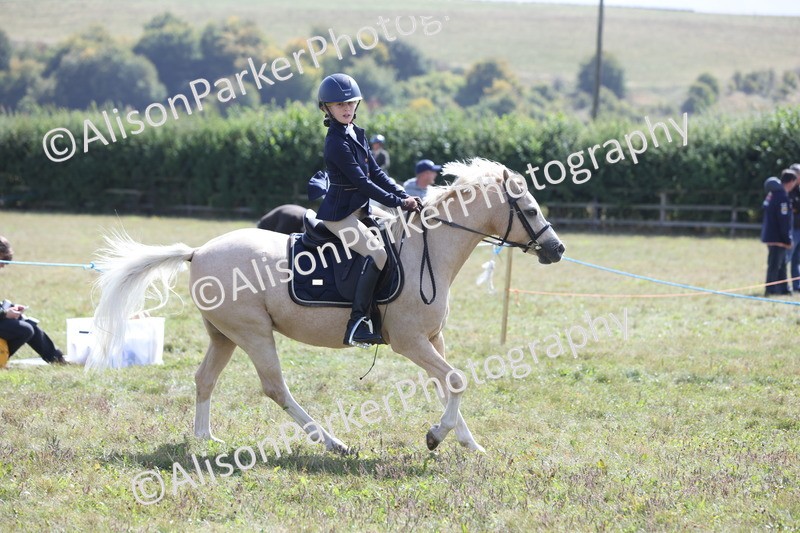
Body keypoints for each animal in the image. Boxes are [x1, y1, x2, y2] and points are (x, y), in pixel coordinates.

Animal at [89, 159, 565, 454]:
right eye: (529, 209)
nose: (557, 249)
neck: (428, 250)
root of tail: (198, 251)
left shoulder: (433, 338)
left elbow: (448, 383)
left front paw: (467, 443)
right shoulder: (410, 342)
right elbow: (457, 380)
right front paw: (436, 436)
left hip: (224, 334)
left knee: (205, 379)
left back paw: (206, 439)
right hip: (253, 333)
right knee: (275, 388)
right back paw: (334, 443)